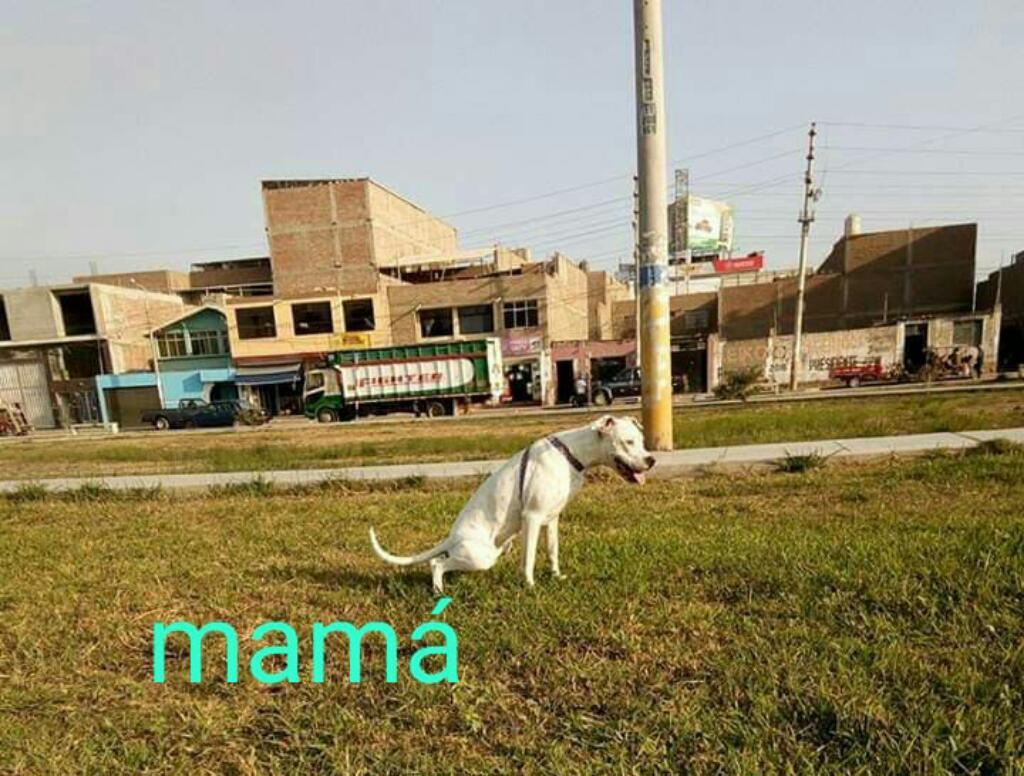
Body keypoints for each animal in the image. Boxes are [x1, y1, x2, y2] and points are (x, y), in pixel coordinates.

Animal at [368, 419, 655, 593]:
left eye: (641, 441)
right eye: (628, 441)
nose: (651, 460)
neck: (571, 453)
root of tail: (452, 538)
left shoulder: (552, 519)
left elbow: (552, 551)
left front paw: (556, 576)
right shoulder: (533, 517)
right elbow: (528, 558)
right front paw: (529, 585)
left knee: (440, 561)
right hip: (481, 557)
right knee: (436, 563)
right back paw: (439, 590)